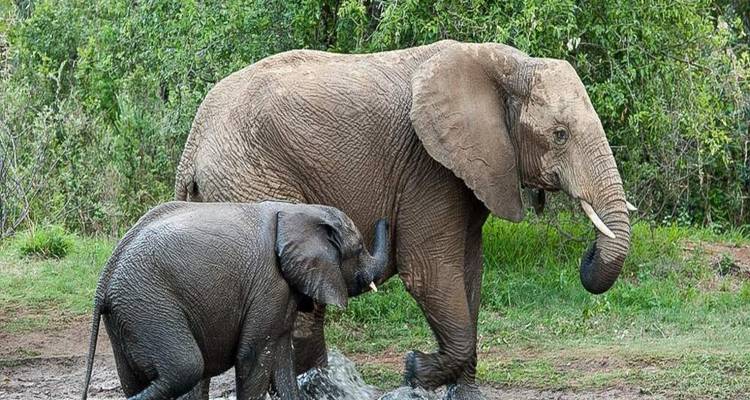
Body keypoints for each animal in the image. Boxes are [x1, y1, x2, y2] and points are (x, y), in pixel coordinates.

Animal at [80, 201, 389, 400]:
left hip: (126, 315)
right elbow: (252, 358)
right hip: (149, 306)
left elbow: (282, 362)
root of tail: (105, 278)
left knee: (137, 381)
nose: (385, 218)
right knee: (187, 368)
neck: (299, 211)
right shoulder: (269, 285)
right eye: (359, 248)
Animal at [174, 39, 633, 398]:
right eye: (560, 135)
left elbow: (469, 271)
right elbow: (430, 270)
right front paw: (414, 369)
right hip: (252, 178)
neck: (504, 64)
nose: (588, 255)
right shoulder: (428, 169)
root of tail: (192, 147)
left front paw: (462, 392)